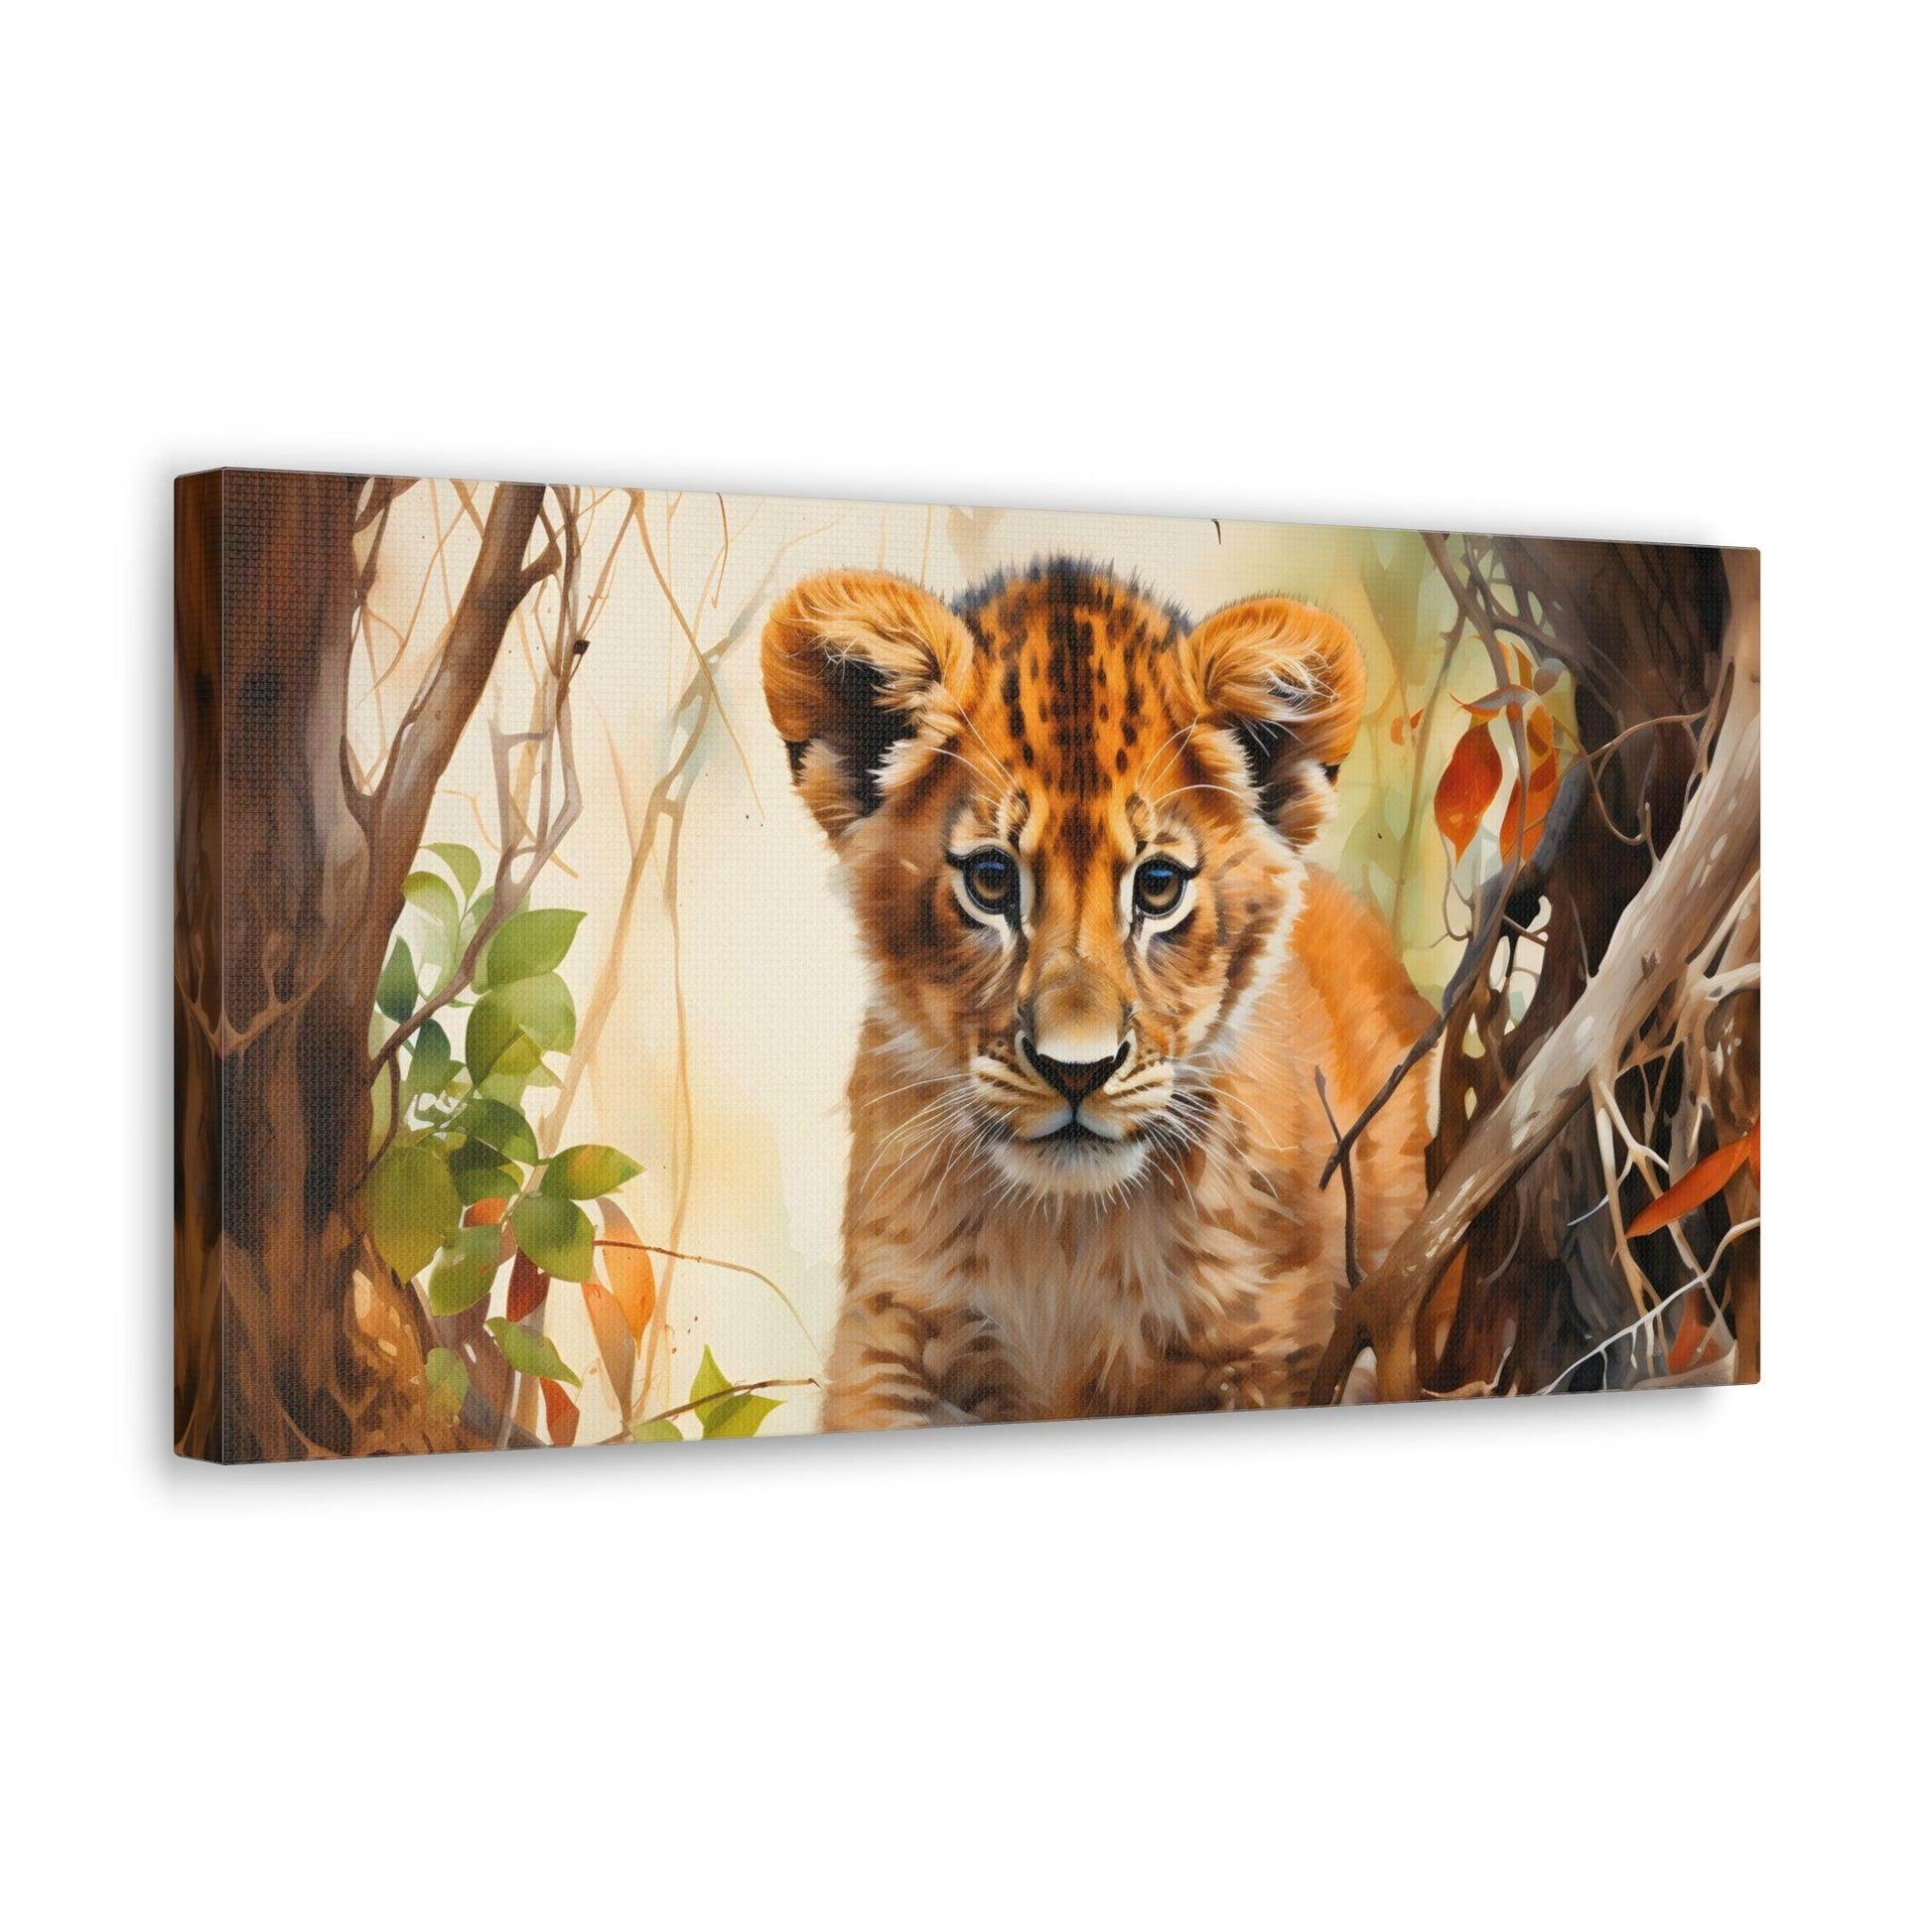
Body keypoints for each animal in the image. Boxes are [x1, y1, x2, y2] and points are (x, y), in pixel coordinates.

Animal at [761, 558, 1436, 1427]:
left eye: (1158, 886)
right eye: (991, 881)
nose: (1076, 1071)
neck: (1064, 1235)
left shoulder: (1270, 1350)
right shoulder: (891, 1342)